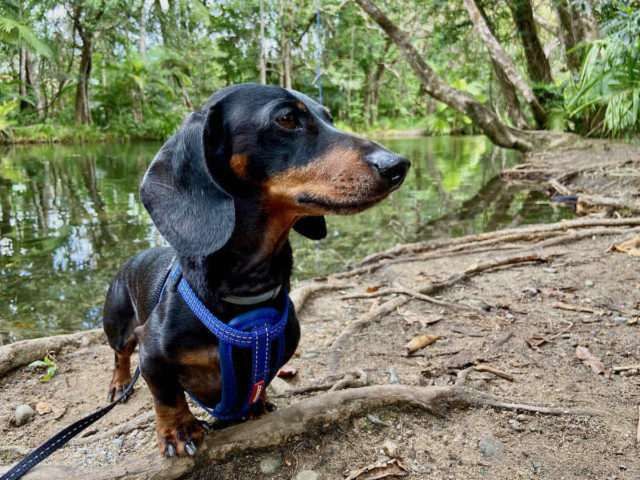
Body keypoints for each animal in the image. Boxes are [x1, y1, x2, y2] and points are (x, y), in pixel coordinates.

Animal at [101, 83, 410, 458]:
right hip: (118, 324)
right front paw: (178, 428)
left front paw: (257, 406)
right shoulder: (152, 355)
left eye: (329, 117)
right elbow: (167, 395)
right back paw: (119, 385)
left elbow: (260, 384)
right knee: (120, 355)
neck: (249, 291)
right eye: (287, 118)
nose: (398, 165)